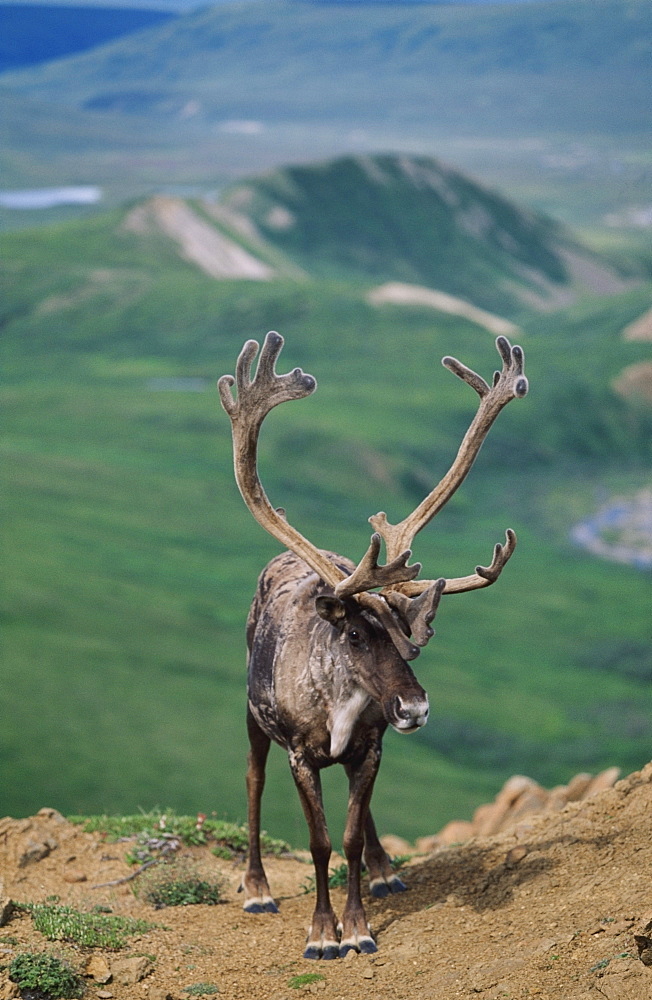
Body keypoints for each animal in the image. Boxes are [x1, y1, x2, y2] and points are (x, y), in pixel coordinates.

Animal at [220, 332, 528, 956]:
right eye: (358, 634)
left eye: (409, 636)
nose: (415, 706)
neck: (338, 707)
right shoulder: (299, 754)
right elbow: (319, 842)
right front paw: (322, 933)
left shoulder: (372, 747)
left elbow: (352, 838)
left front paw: (358, 925)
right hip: (251, 715)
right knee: (252, 780)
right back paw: (257, 887)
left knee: (360, 821)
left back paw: (386, 871)